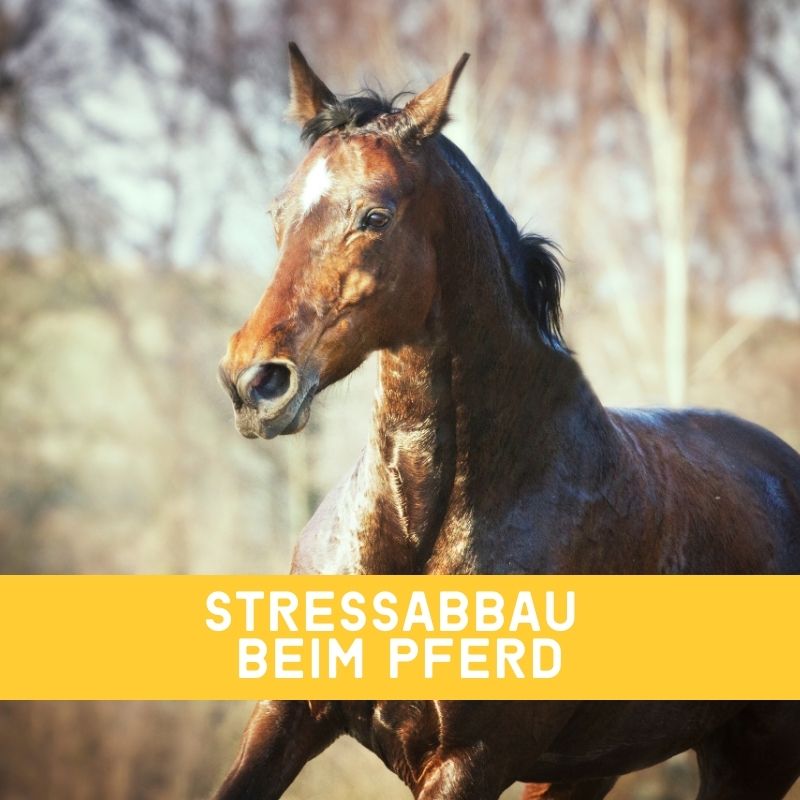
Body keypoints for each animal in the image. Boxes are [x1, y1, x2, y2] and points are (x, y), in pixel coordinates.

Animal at [216, 44, 800, 800]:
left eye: (374, 216)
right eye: (278, 212)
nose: (254, 381)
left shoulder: (473, 761)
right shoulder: (287, 716)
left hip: (754, 756)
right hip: (584, 771)